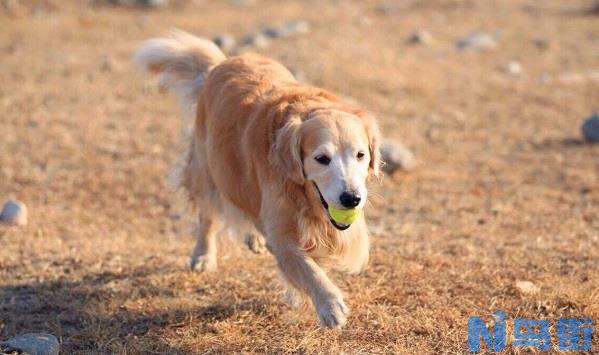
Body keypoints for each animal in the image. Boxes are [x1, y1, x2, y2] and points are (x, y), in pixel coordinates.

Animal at [134, 29, 382, 328]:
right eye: (322, 158)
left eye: (361, 155)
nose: (351, 199)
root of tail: (221, 63)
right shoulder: (283, 233)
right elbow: (307, 268)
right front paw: (330, 304)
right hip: (208, 170)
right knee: (208, 217)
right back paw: (203, 256)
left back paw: (253, 237)